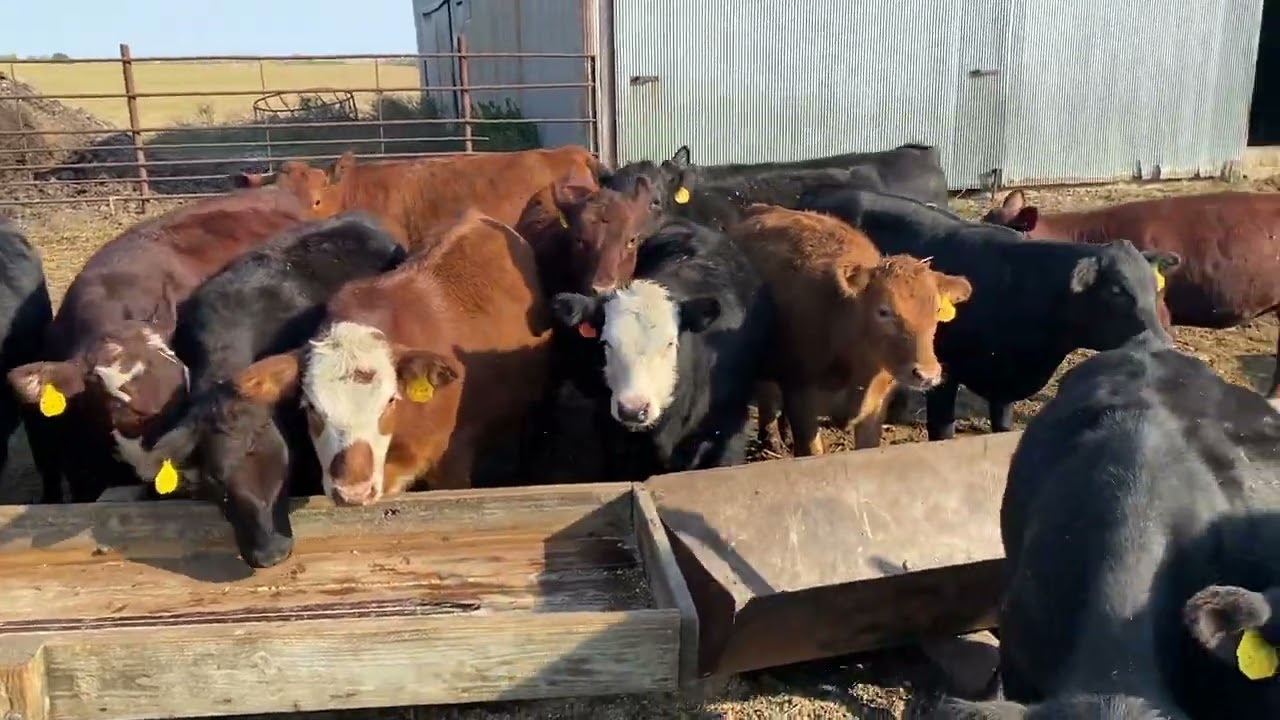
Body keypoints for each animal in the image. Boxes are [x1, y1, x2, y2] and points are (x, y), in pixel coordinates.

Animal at [796, 187, 1181, 441]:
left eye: (1155, 287)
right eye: (1116, 291)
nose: (1162, 342)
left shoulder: (1005, 385)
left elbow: (1002, 426)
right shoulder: (945, 374)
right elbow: (942, 430)